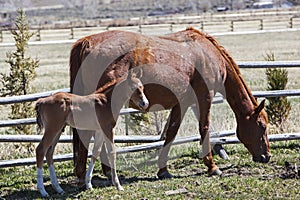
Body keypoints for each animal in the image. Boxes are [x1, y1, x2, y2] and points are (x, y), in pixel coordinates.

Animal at [70, 27, 272, 185]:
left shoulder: (182, 103)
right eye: (261, 126)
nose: (266, 156)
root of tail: (87, 41)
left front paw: (163, 170)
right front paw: (212, 166)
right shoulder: (204, 98)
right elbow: (204, 128)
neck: (207, 53)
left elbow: (171, 133)